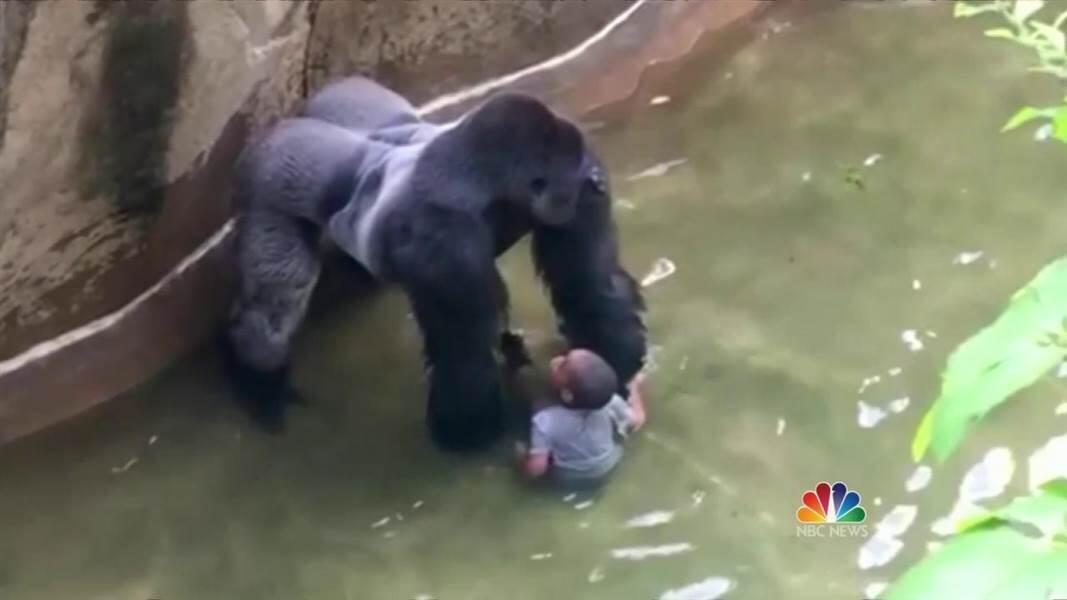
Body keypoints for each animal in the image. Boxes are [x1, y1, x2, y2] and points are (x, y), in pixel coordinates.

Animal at [220, 75, 644, 448]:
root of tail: (281, 126)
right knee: (276, 303)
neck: (482, 180)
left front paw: (616, 364)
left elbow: (588, 283)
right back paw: (261, 381)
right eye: (579, 172)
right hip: (269, 179)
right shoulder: (444, 241)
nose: (597, 180)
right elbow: (464, 348)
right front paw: (469, 430)